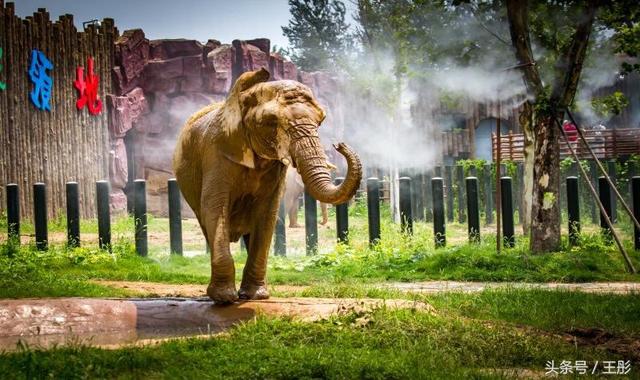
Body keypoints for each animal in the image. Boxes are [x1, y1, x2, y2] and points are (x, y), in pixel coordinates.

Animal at [172, 68, 362, 304]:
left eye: (320, 121)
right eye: (271, 122)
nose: (339, 145)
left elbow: (267, 213)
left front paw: (256, 297)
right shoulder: (216, 153)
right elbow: (215, 207)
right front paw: (224, 299)